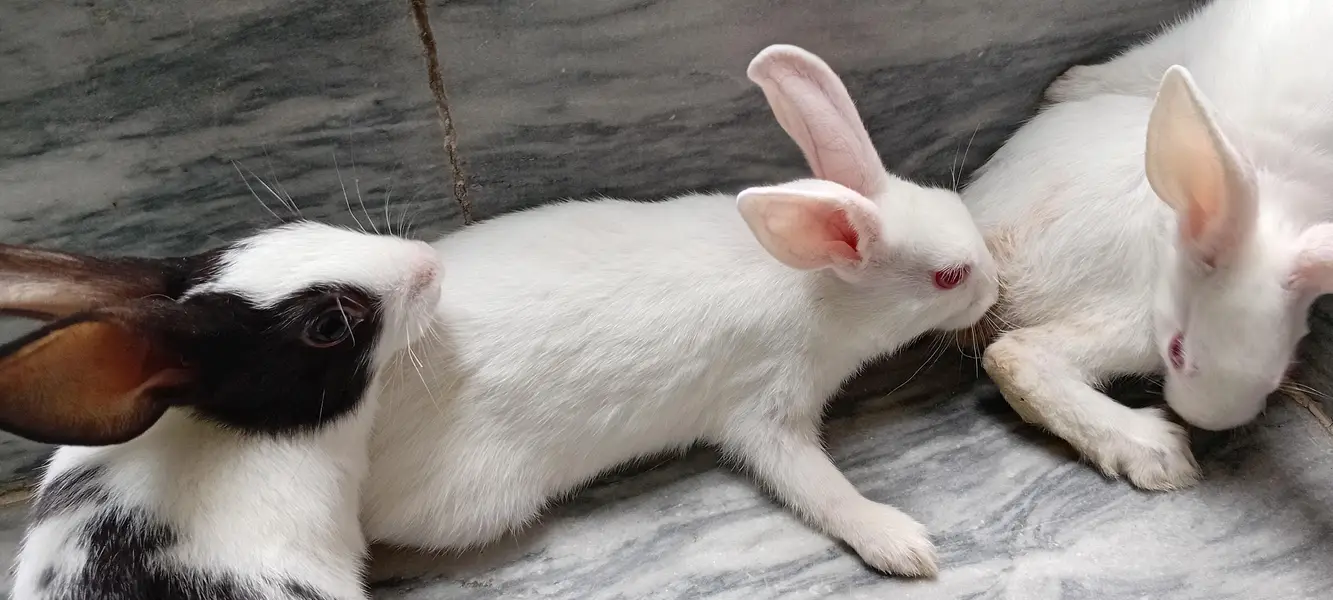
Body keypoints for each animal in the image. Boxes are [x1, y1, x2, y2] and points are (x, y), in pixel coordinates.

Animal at [359, 44, 998, 578]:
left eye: (952, 200)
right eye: (948, 278)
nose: (994, 289)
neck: (816, 287)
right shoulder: (765, 408)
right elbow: (818, 487)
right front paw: (902, 545)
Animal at [961, 0, 1333, 491]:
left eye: (1282, 371)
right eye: (1177, 351)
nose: (1206, 419)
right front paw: (1065, 85)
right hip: (1139, 312)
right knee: (1015, 354)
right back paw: (1158, 451)